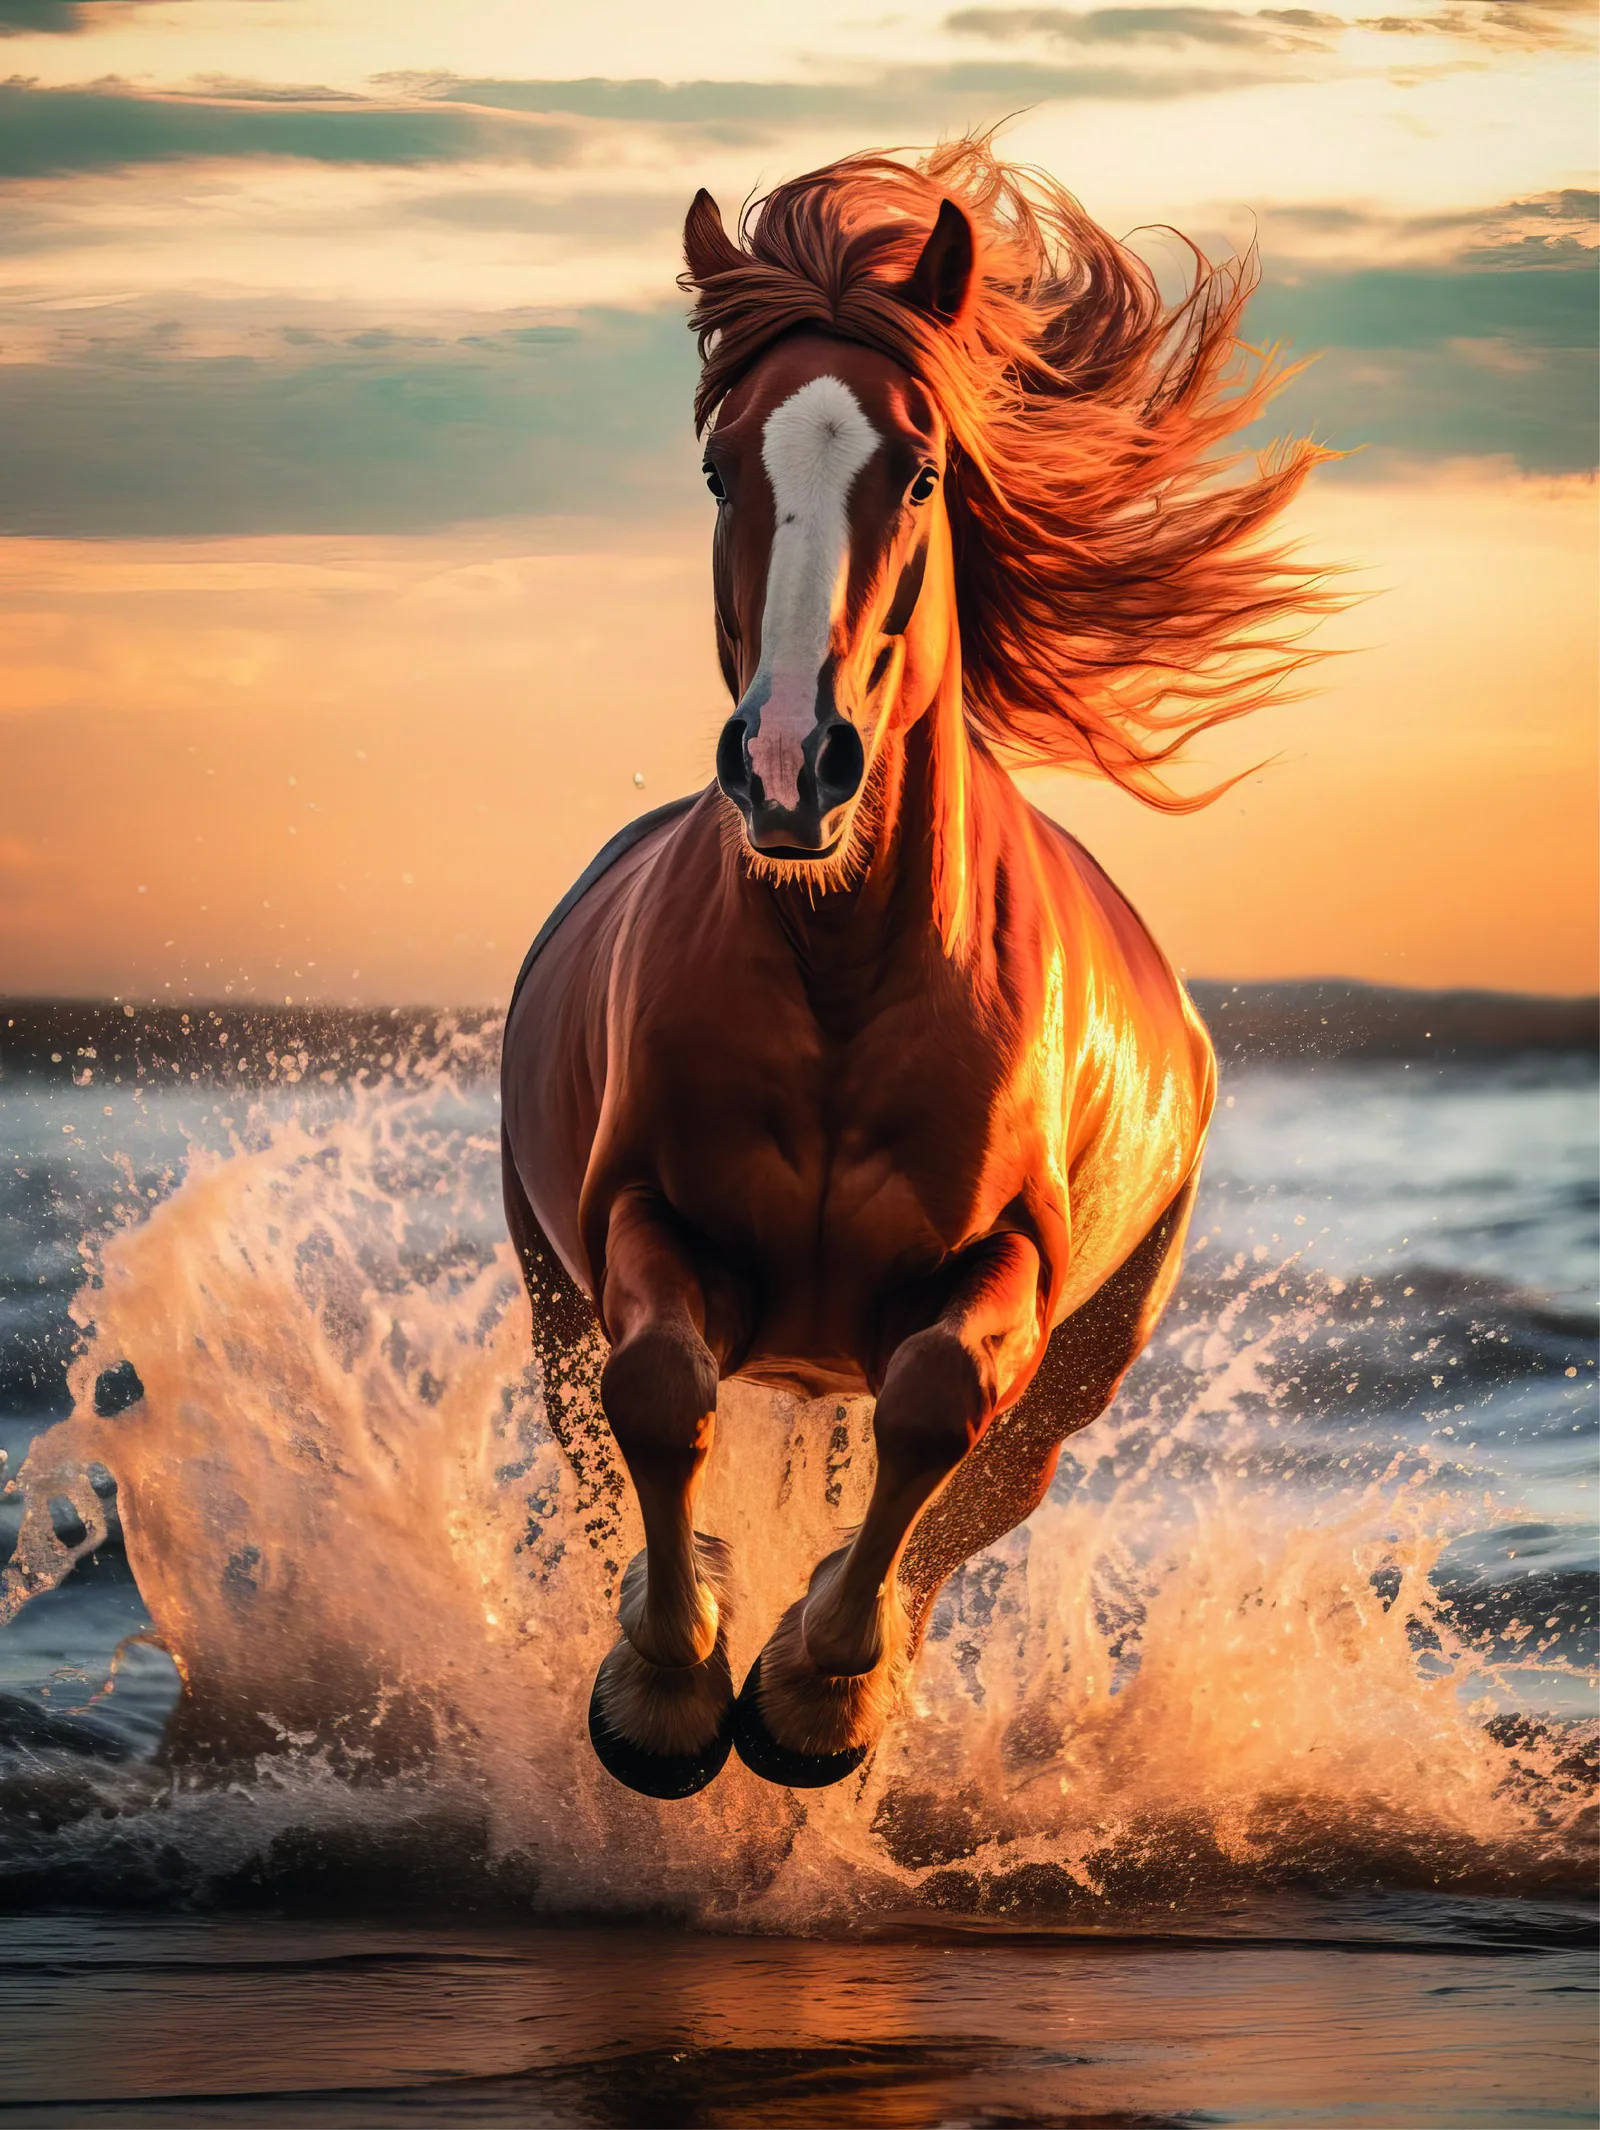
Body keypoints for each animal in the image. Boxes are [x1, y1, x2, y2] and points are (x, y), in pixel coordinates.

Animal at [501, 141, 1327, 1797]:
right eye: (721, 470)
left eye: (926, 468)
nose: (788, 764)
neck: (839, 971)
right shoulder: (636, 1218)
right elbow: (660, 1396)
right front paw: (667, 1687)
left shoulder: (1005, 1264)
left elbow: (935, 1415)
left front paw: (812, 1692)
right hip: (553, 1298)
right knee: (604, 1441)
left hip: (1079, 1374)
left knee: (970, 1500)